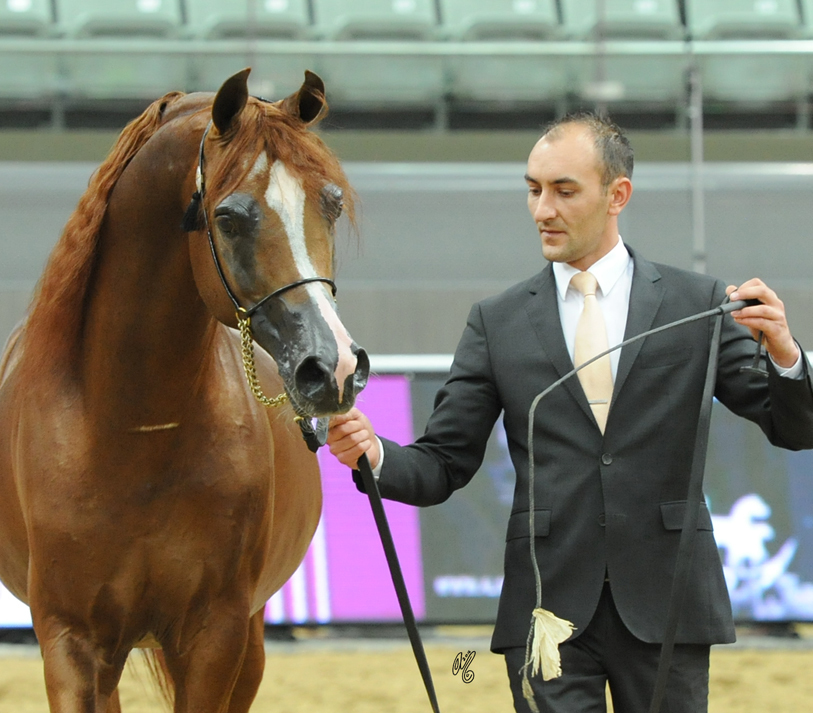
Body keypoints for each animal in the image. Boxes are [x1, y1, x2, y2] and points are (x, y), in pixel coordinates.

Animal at [0, 68, 369, 712]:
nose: (335, 368)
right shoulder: (69, 642)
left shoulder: (213, 636)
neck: (131, 429)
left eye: (332, 203)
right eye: (229, 217)